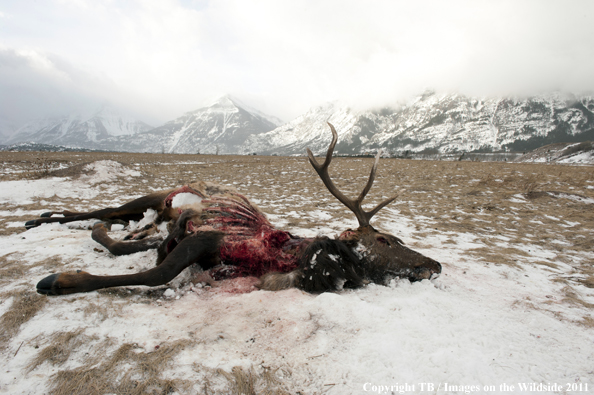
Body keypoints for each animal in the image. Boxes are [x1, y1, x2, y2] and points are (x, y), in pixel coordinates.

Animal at [28, 124, 440, 296]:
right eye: (386, 240)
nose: (435, 264)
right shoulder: (207, 238)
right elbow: (156, 274)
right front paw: (61, 281)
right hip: (154, 197)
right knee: (106, 209)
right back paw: (41, 218)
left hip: (154, 215)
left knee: (117, 225)